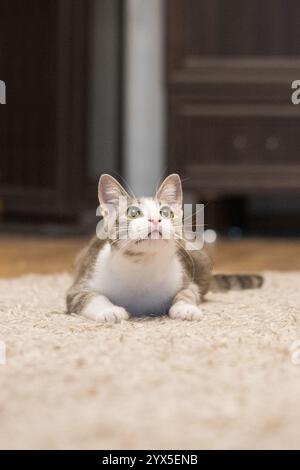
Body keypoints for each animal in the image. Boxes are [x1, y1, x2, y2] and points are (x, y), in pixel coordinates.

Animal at [66, 173, 262, 324]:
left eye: (166, 212)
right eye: (133, 213)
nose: (155, 220)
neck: (143, 265)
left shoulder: (185, 278)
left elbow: (188, 293)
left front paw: (186, 308)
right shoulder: (80, 284)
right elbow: (87, 297)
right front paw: (109, 311)